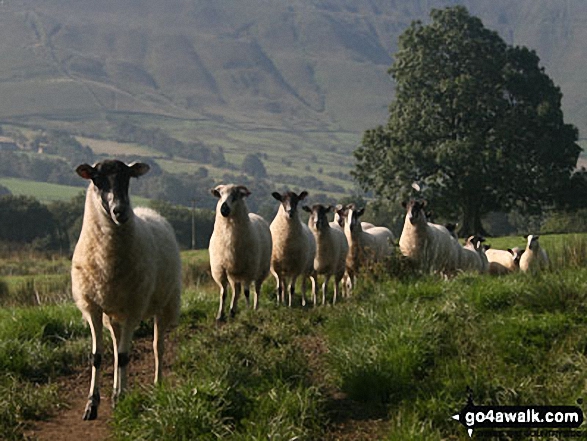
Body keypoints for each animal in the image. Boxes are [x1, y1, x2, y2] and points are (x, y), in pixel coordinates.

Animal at [71, 160, 181, 422]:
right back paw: (116, 391)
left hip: (163, 304)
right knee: (117, 346)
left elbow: (124, 356)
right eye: (97, 179)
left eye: (128, 178)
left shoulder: (134, 307)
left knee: (156, 347)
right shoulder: (93, 307)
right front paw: (92, 405)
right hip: (113, 313)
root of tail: (149, 211)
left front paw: (121, 400)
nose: (120, 211)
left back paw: (156, 385)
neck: (106, 258)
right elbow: (98, 357)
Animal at [209, 183, 274, 320]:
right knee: (236, 291)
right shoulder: (221, 269)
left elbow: (247, 292)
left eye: (235, 196)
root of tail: (255, 215)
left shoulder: (248, 270)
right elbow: (224, 293)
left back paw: (255, 307)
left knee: (256, 289)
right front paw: (220, 315)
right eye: (220, 195)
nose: (223, 210)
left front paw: (248, 310)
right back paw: (232, 311)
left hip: (261, 270)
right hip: (234, 273)